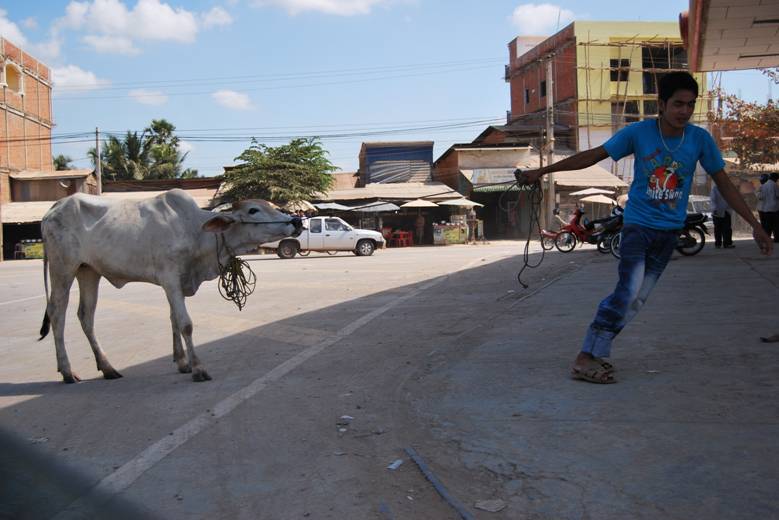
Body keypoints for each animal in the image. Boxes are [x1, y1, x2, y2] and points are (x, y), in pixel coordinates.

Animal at [38, 189, 304, 384]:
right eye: (253, 210)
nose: (296, 221)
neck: (196, 232)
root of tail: (55, 207)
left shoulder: (176, 282)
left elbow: (174, 318)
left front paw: (183, 362)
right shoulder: (171, 278)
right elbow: (185, 323)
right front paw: (198, 368)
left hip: (88, 271)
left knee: (86, 316)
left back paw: (107, 367)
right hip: (63, 268)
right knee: (57, 313)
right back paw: (67, 371)